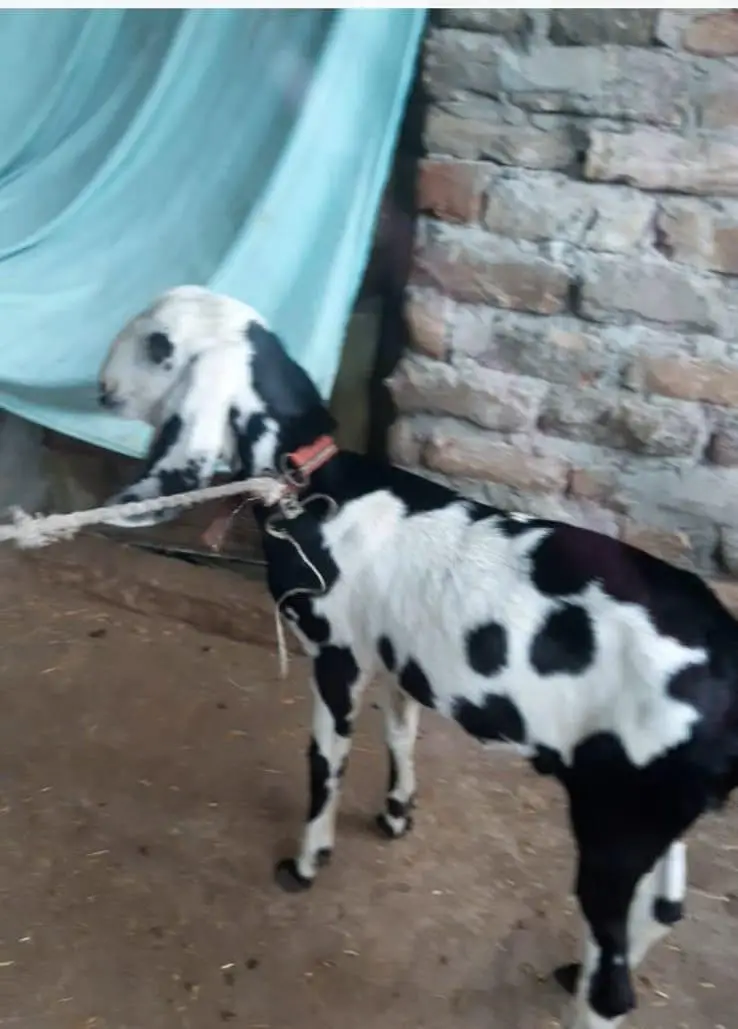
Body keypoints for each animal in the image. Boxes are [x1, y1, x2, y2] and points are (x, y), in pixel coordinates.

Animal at [98, 285, 738, 1029]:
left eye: (160, 344)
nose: (101, 388)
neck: (320, 489)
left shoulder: (338, 654)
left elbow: (325, 762)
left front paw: (307, 860)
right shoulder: (400, 661)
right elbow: (401, 734)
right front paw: (397, 813)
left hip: (618, 817)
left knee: (616, 984)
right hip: (658, 808)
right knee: (664, 908)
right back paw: (575, 969)